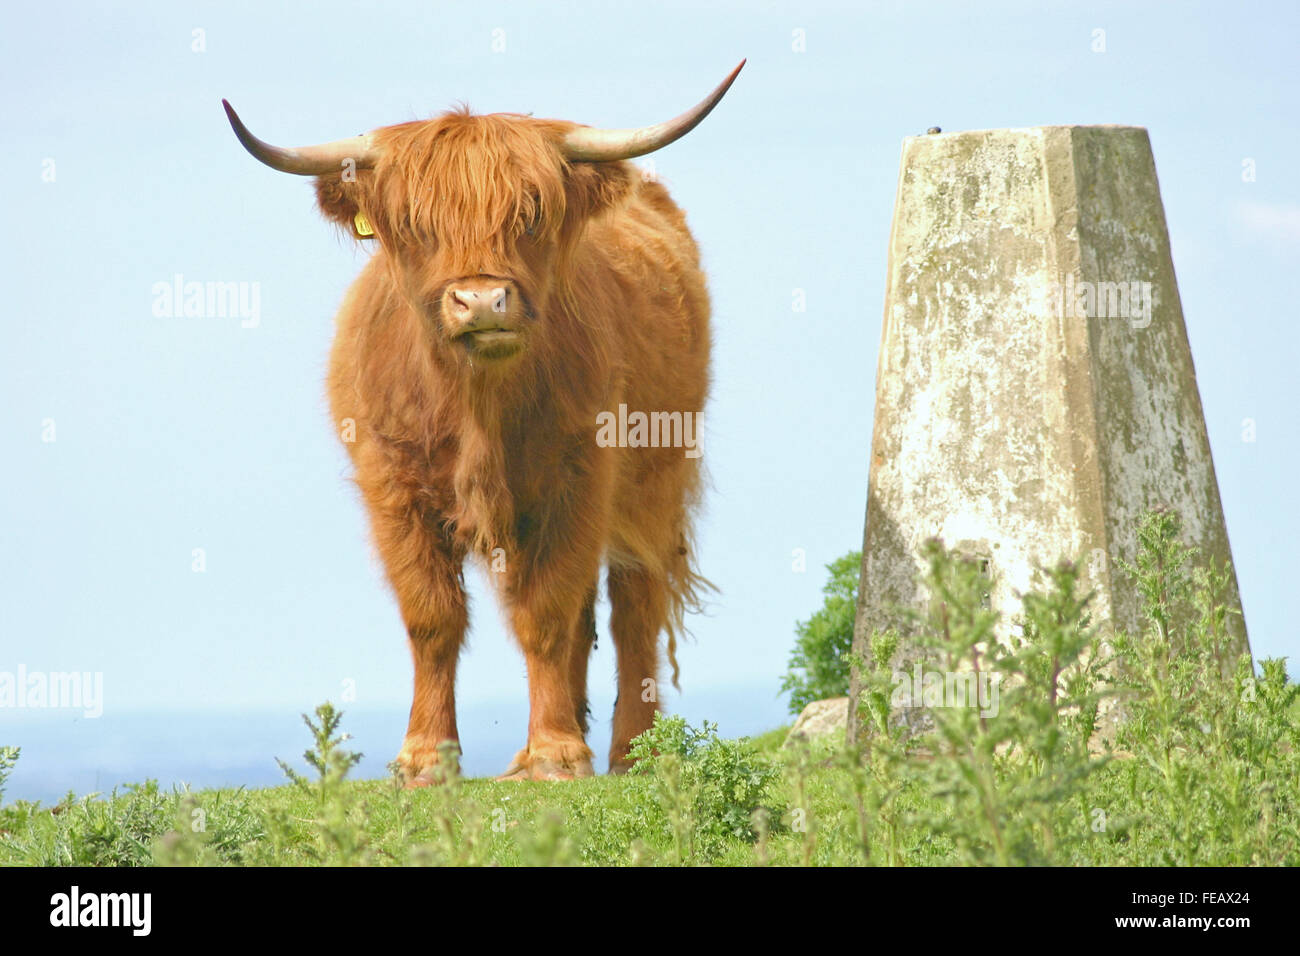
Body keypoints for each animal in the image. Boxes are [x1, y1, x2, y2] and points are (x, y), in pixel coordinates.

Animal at [223, 62, 743, 782]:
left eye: (531, 213)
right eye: (414, 223)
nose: (479, 300)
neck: (477, 406)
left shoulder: (580, 478)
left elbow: (546, 613)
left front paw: (556, 754)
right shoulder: (393, 489)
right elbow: (433, 617)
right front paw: (425, 758)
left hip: (655, 479)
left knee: (632, 604)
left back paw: (634, 752)